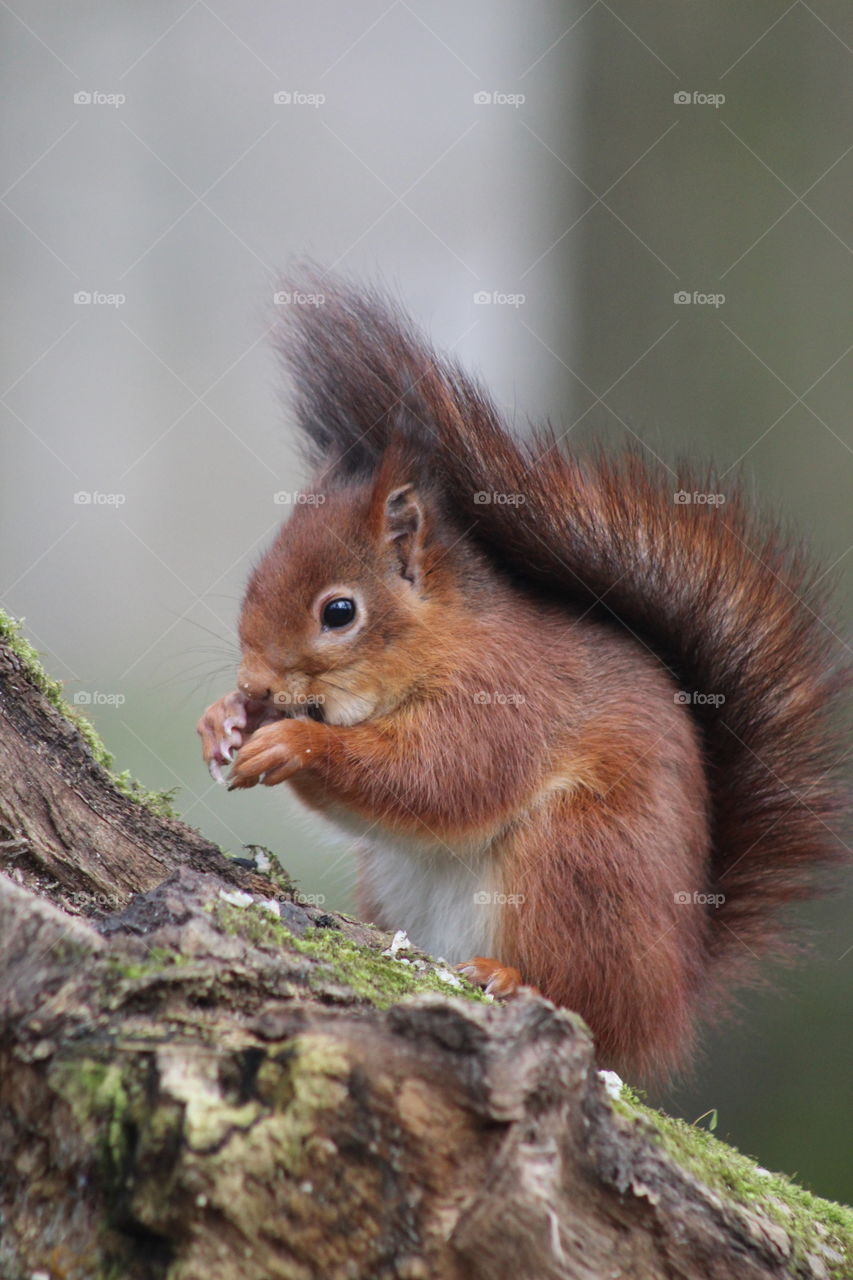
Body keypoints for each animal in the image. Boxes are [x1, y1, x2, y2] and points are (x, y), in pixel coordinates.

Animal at [197, 270, 845, 1080]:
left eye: (339, 612)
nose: (255, 684)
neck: (443, 640)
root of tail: (672, 997)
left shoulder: (506, 695)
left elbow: (441, 777)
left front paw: (296, 744)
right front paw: (222, 719)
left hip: (578, 862)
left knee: (586, 1002)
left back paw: (514, 978)